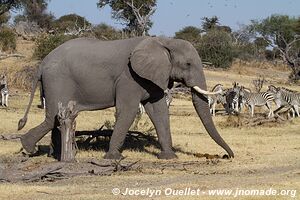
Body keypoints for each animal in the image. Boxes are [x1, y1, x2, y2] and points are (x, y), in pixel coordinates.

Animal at [18, 36, 234, 159]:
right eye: (188, 64)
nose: (227, 156)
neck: (164, 40)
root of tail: (42, 64)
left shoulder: (151, 77)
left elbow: (159, 112)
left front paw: (168, 157)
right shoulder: (129, 76)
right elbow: (128, 111)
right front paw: (113, 158)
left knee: (55, 119)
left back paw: (55, 154)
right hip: (57, 80)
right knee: (52, 117)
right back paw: (29, 148)